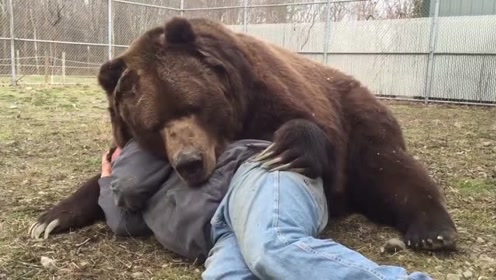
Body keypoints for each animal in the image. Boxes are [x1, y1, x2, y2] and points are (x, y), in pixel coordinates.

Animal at [30, 15, 458, 252]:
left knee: (391, 169)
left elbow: (309, 131)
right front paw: (48, 219)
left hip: (364, 118)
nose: (189, 162)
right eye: (153, 125)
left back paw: (433, 231)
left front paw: (287, 149)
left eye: (193, 106)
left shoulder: (271, 94)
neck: (235, 119)